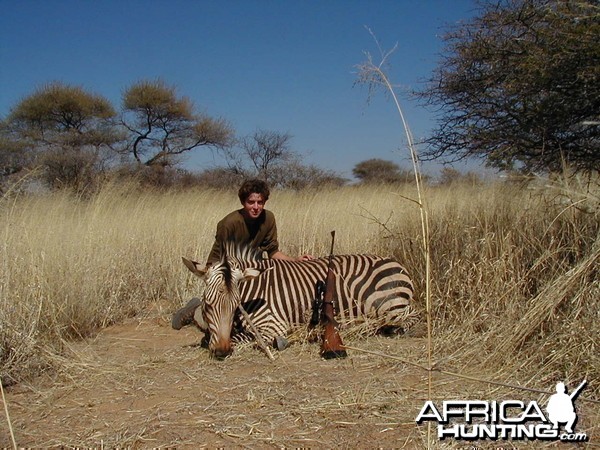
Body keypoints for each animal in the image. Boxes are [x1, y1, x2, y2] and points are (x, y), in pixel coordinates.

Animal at [183, 243, 418, 358]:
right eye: (208, 305)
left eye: (235, 306)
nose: (221, 351)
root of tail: (396, 263)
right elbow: (209, 336)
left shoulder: (272, 325)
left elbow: (242, 338)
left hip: (387, 307)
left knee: (405, 320)